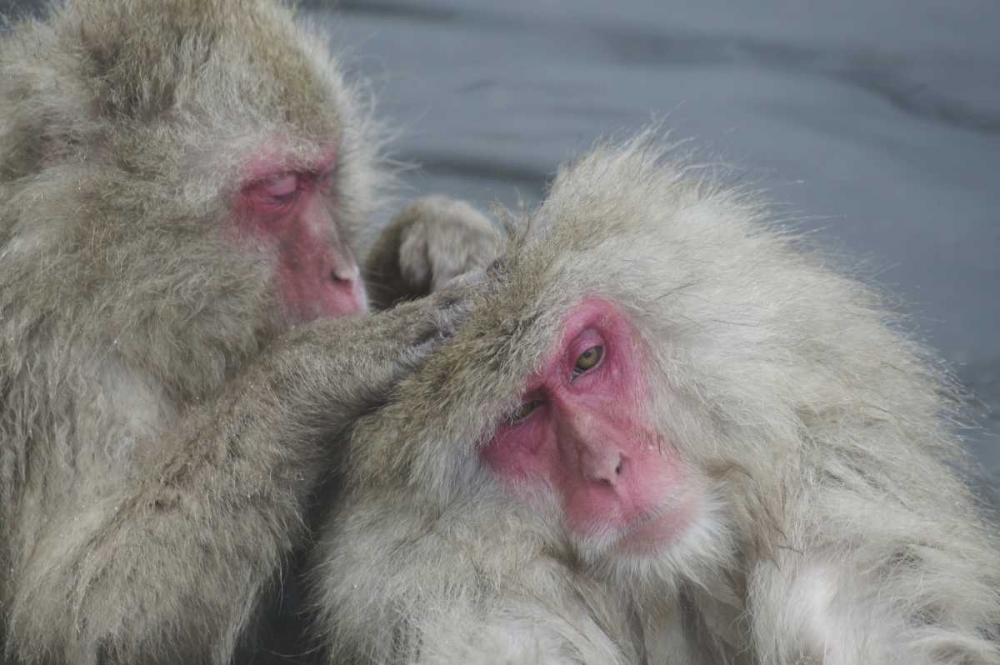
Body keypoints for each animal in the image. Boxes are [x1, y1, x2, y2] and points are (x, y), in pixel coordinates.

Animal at [0, 1, 500, 664]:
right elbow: (83, 620)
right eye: (282, 191)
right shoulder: (50, 376)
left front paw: (435, 235)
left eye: (326, 178)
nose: (343, 274)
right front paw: (326, 364)